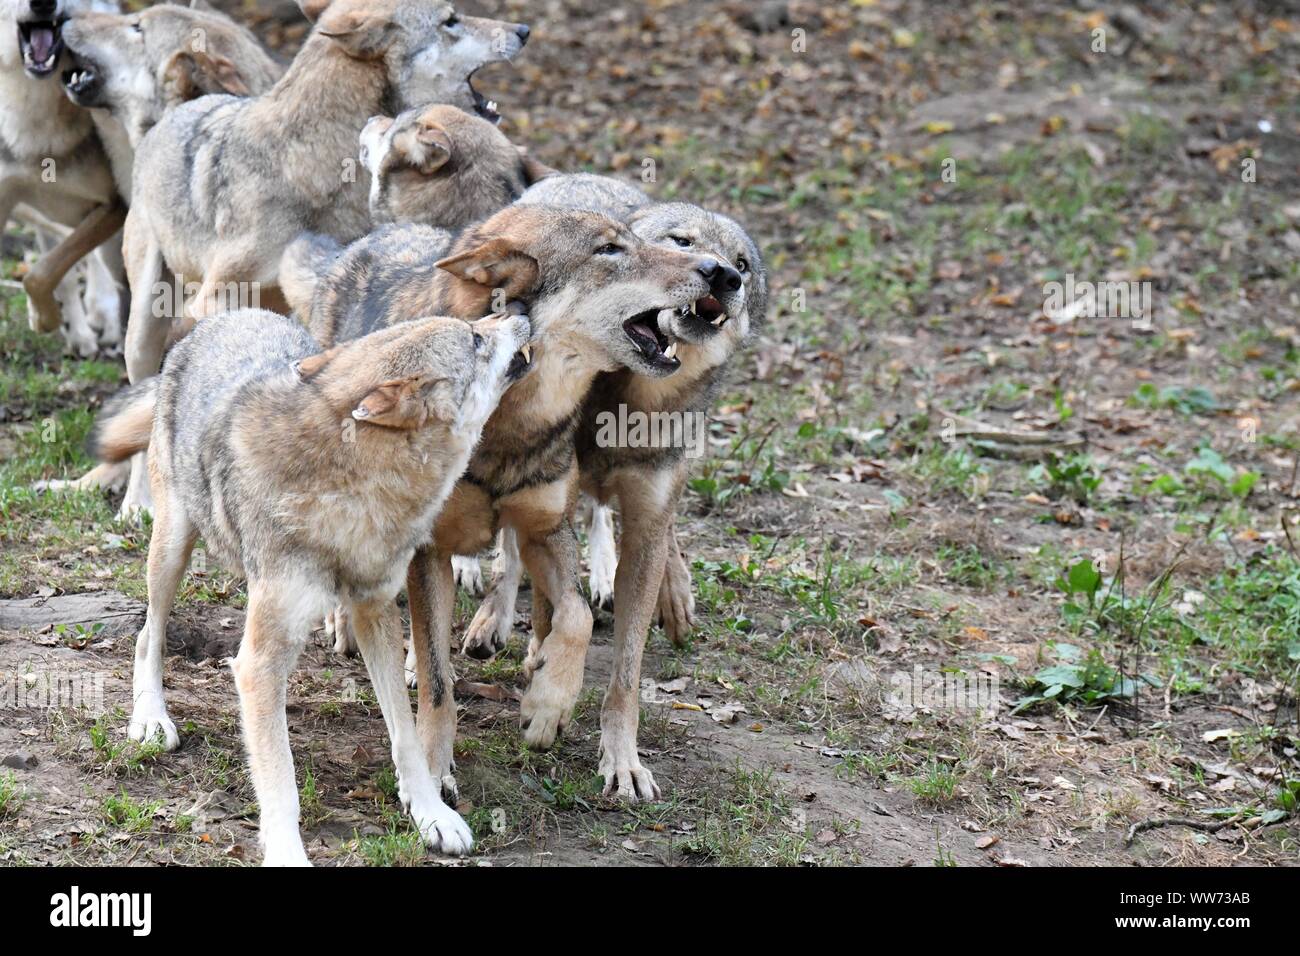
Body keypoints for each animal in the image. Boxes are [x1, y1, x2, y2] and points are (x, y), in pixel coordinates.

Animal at [1, 0, 125, 356]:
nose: (43, 3)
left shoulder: (114, 207)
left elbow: (42, 272)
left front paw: (46, 319)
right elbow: (54, 272)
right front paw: (48, 318)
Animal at [87, 308, 533, 868]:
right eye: (474, 337)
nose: (520, 312)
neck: (351, 488)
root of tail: (229, 314)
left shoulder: (376, 612)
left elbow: (406, 735)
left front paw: (432, 814)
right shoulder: (257, 663)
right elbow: (281, 776)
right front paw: (286, 852)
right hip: (171, 546)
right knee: (149, 633)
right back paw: (150, 720)